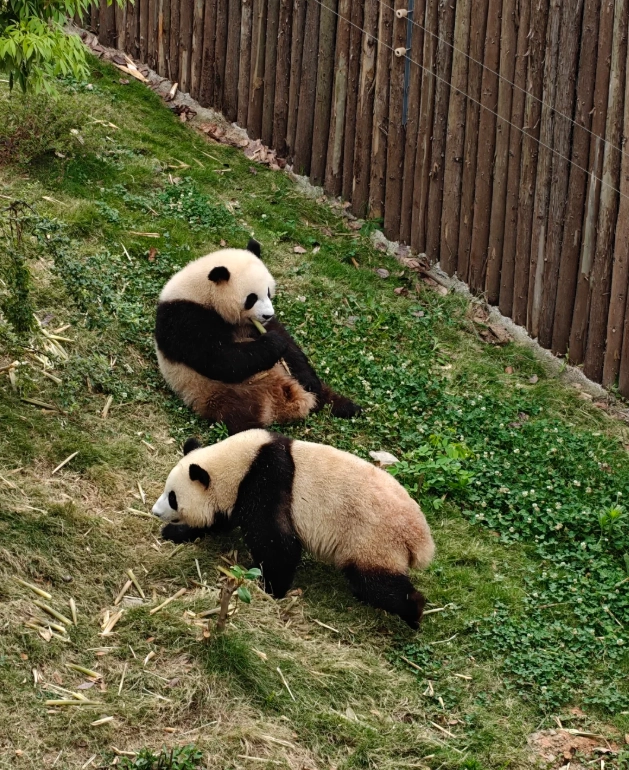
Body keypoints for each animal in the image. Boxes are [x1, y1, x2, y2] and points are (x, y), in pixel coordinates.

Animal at [151, 431, 435, 629]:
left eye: (173, 497)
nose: (155, 511)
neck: (242, 462)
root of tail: (420, 539)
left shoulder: (268, 481)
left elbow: (276, 543)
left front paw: (271, 588)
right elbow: (220, 522)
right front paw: (175, 533)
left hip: (373, 539)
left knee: (376, 582)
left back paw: (414, 612)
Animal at [154, 239, 361, 435]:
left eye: (268, 292)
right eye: (251, 298)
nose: (268, 314)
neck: (203, 292)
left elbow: (289, 346)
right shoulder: (184, 317)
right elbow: (218, 358)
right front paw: (273, 343)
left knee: (322, 393)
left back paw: (348, 407)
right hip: (218, 393)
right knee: (240, 419)